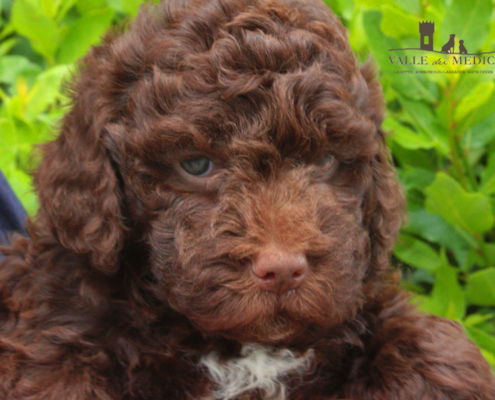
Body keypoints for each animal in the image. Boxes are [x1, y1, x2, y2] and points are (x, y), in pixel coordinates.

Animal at [0, 0, 495, 400]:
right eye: (196, 164)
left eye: (327, 159)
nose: (283, 271)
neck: (243, 347)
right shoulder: (60, 325)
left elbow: (432, 352)